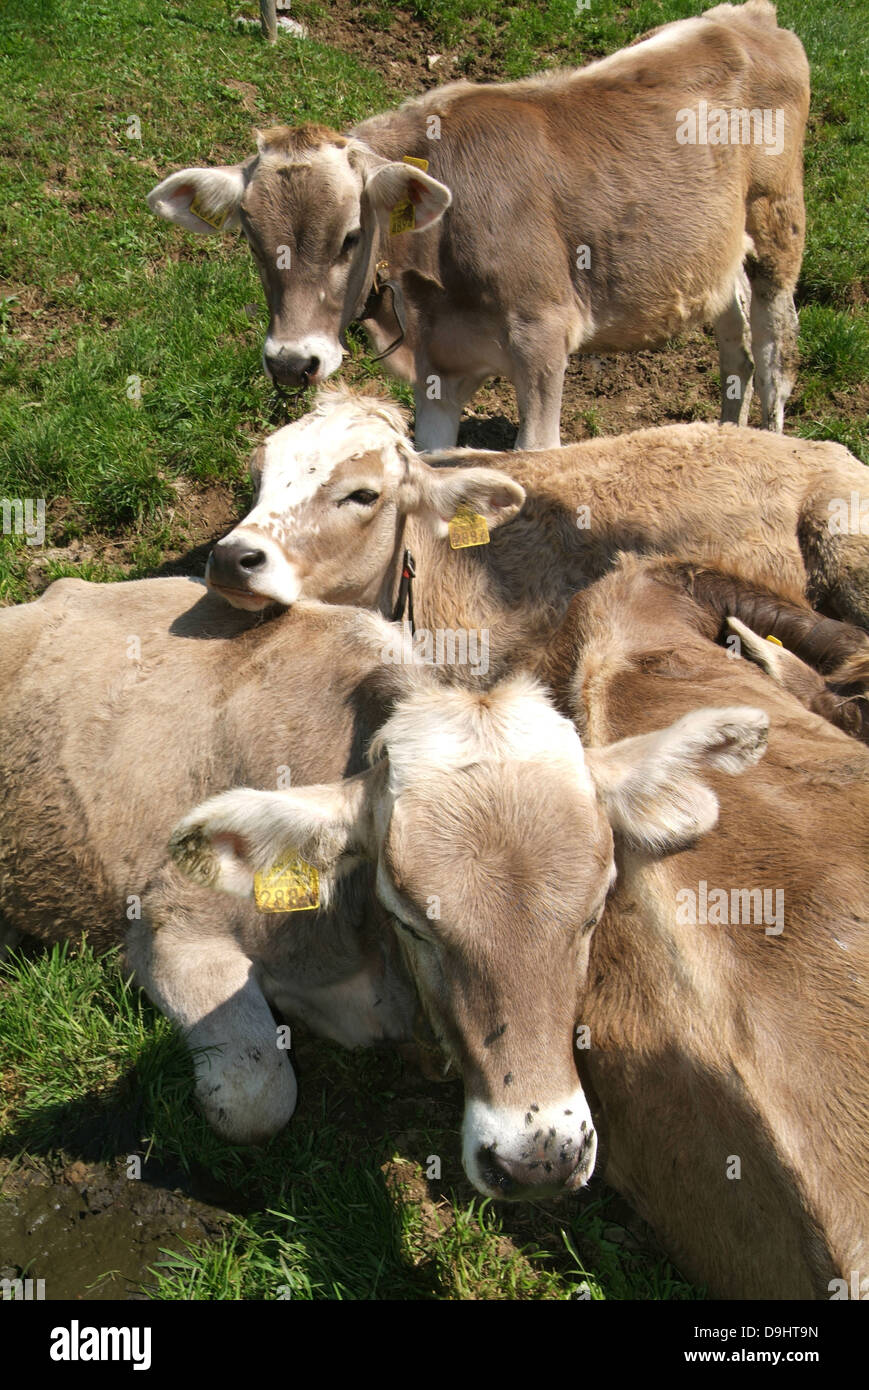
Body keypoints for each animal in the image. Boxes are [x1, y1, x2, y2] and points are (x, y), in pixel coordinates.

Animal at [146, 0, 810, 447]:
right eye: (254, 242)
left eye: (350, 238)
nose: (291, 362)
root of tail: (745, 16)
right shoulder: (440, 369)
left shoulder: (543, 338)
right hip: (715, 254)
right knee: (735, 339)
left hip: (778, 224)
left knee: (774, 352)